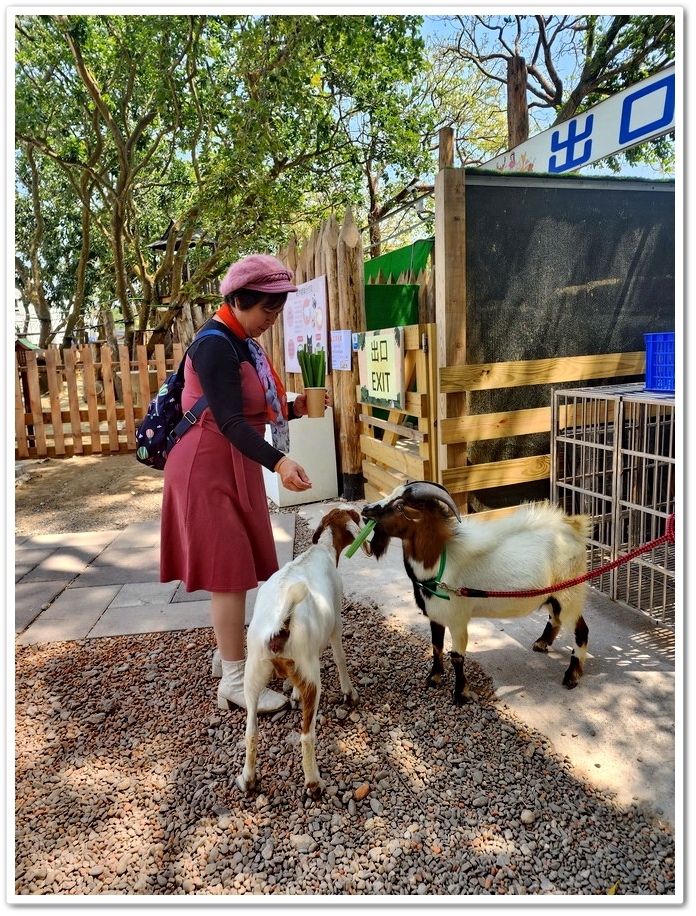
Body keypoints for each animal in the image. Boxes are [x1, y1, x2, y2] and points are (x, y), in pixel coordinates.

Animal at [237, 504, 370, 796]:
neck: (320, 551)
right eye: (356, 517)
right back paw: (314, 782)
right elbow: (340, 658)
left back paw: (248, 779)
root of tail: (278, 626)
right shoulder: (335, 624)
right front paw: (349, 693)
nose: (366, 514)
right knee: (306, 735)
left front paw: (294, 695)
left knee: (251, 730)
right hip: (312, 679)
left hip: (253, 675)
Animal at [362, 484, 588, 704]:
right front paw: (434, 678)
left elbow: (456, 656)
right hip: (551, 594)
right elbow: (436, 646)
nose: (365, 510)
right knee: (555, 617)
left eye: (399, 506)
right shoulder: (436, 616)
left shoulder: (457, 619)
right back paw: (541, 644)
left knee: (581, 629)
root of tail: (575, 527)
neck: (439, 563)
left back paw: (572, 676)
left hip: (570, 592)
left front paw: (460, 694)